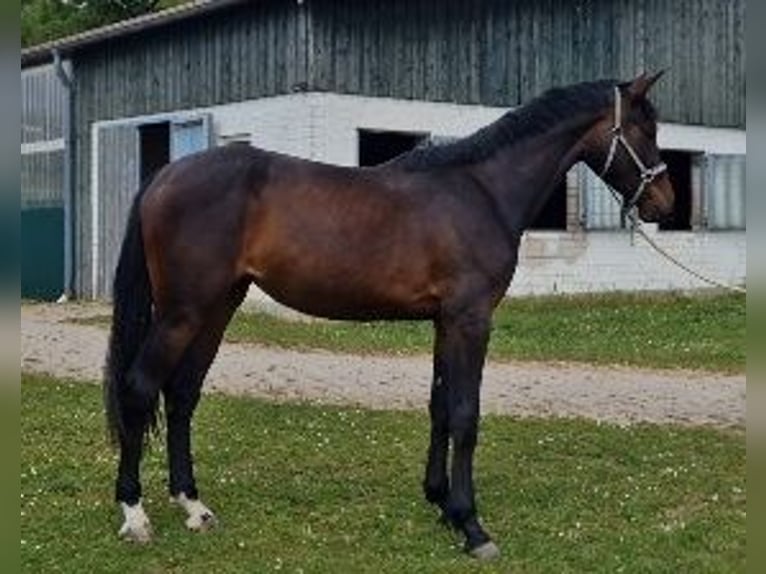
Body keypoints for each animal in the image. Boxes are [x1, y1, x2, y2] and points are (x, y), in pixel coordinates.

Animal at [104, 72, 673, 559]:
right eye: (645, 128)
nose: (665, 204)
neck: (481, 190)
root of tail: (163, 177)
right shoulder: (471, 320)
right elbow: (465, 413)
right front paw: (472, 526)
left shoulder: (446, 321)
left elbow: (440, 407)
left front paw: (441, 502)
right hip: (182, 311)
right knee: (139, 388)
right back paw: (135, 514)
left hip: (219, 305)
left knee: (182, 394)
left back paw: (193, 506)